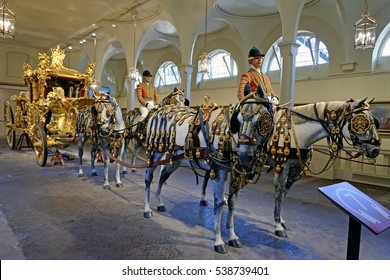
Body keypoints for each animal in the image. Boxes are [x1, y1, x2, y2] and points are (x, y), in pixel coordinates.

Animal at [142, 90, 272, 254]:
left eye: (263, 120)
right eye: (238, 120)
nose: (244, 156)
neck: (228, 134)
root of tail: (158, 110)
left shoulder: (236, 172)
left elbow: (232, 203)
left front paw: (232, 237)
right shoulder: (219, 170)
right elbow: (219, 203)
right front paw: (218, 241)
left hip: (175, 160)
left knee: (163, 176)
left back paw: (159, 203)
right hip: (155, 152)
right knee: (149, 177)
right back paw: (147, 209)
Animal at [268, 97, 380, 237]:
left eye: (374, 122)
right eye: (363, 122)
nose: (376, 150)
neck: (295, 134)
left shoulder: (295, 171)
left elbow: (284, 194)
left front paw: (281, 221)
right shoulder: (281, 167)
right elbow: (279, 193)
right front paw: (278, 225)